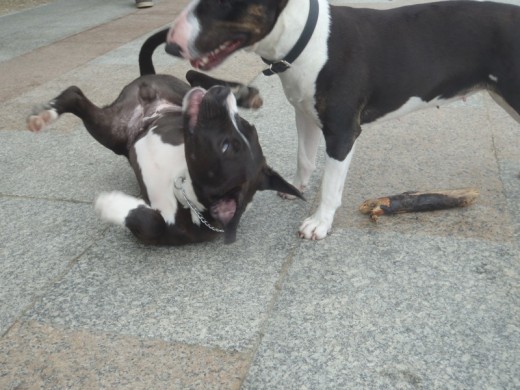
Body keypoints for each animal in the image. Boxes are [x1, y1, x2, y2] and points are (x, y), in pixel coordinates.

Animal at [28, 34, 302, 247]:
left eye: (225, 146)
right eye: (245, 125)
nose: (221, 95)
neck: (184, 188)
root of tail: (147, 81)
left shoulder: (159, 232)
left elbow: (152, 223)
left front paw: (110, 203)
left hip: (110, 130)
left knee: (75, 95)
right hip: (153, 103)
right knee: (191, 73)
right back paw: (242, 92)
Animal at [164, 0, 520, 239]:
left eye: (222, 2)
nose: (170, 44)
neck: (306, 41)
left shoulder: (342, 132)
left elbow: (331, 184)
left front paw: (319, 223)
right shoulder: (304, 114)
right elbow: (305, 157)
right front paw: (295, 186)